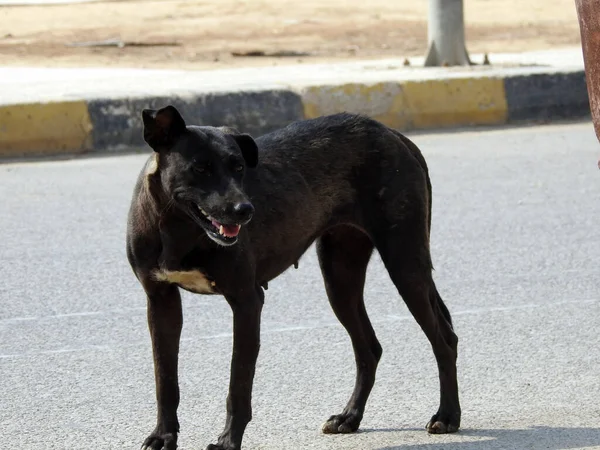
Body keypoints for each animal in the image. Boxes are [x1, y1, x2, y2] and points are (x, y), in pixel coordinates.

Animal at [126, 106, 462, 450]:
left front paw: (228, 441)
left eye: (238, 167)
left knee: (444, 339)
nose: (245, 210)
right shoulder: (161, 302)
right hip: (340, 278)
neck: (178, 228)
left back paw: (447, 416)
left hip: (405, 264)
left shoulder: (246, 301)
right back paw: (350, 416)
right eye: (200, 168)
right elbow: (165, 380)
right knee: (369, 348)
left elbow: (238, 382)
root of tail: (393, 134)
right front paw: (163, 436)